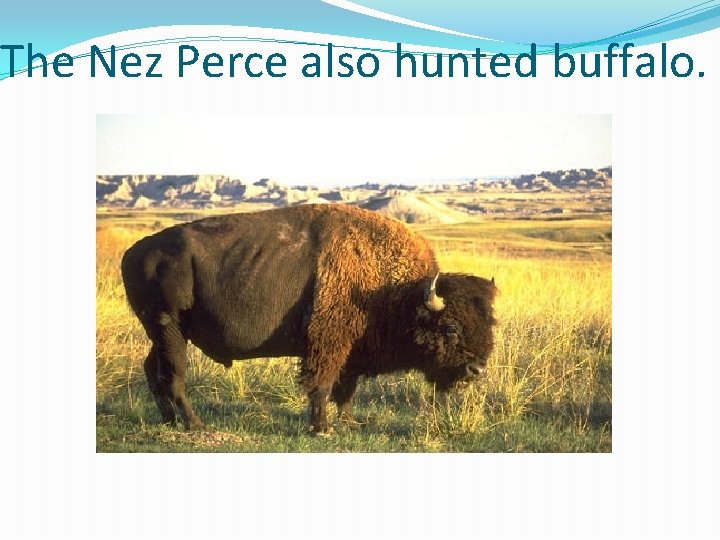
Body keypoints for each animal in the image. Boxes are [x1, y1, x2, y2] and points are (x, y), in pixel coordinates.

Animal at [121, 204, 497, 433]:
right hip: (169, 327)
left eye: (489, 324)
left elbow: (347, 389)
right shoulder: (328, 344)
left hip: (164, 333)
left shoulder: (352, 352)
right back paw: (195, 424)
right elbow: (323, 385)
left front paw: (350, 422)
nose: (477, 369)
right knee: (174, 376)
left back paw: (169, 420)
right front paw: (322, 428)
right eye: (450, 327)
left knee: (153, 371)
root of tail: (132, 253)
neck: (395, 288)